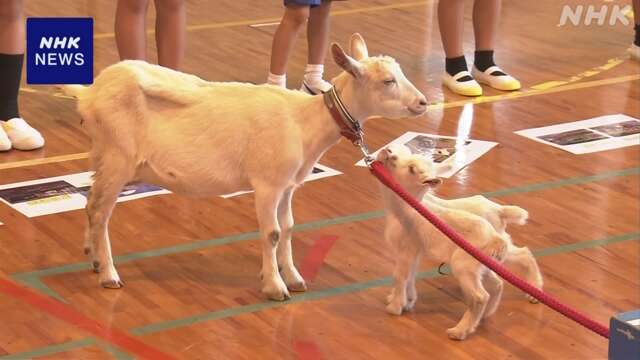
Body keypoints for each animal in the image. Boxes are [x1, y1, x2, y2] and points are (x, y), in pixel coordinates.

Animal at [378, 144, 544, 340]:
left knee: (480, 296)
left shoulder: (407, 249)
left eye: (412, 169)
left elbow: (400, 276)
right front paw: (407, 300)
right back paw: (491, 312)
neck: (409, 206)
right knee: (508, 271)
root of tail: (499, 211)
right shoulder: (415, 252)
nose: (388, 152)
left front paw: (395, 307)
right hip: (488, 260)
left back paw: (460, 331)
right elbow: (410, 276)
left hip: (463, 264)